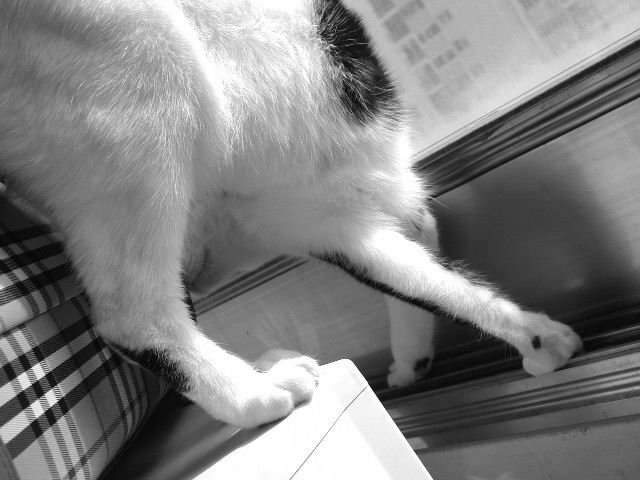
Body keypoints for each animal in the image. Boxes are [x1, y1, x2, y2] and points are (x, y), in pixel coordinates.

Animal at [0, 0, 582, 428]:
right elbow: (429, 264)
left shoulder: (323, 214)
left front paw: (430, 357)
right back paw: (259, 391)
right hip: (143, 65)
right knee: (135, 316)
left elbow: (425, 282)